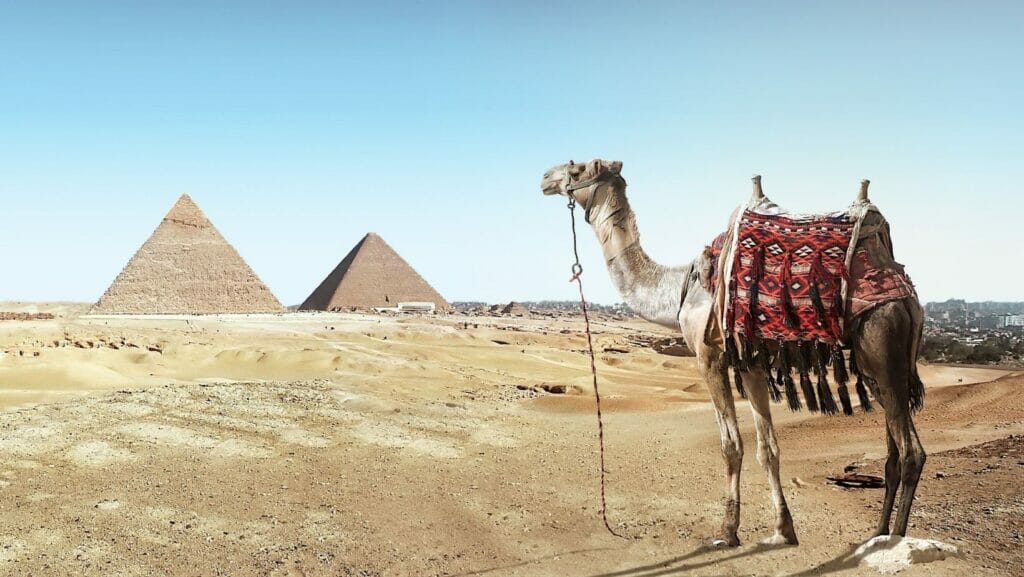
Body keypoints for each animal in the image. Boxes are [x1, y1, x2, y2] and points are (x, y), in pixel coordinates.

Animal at [541, 159, 926, 547]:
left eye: (577, 168)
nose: (545, 178)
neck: (678, 288)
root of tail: (906, 295)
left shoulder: (708, 355)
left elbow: (731, 445)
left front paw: (727, 532)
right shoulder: (750, 363)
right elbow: (768, 449)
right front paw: (783, 529)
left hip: (883, 342)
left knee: (911, 453)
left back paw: (896, 539)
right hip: (877, 367)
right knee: (893, 453)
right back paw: (876, 535)